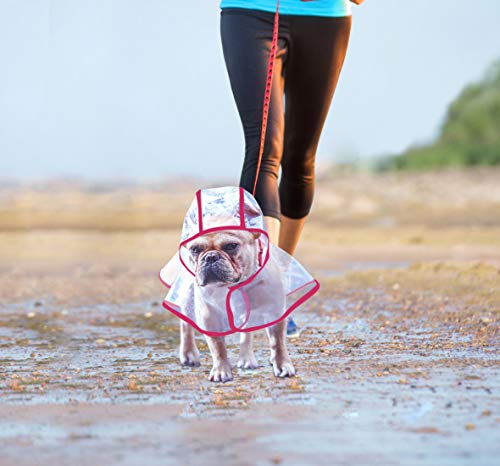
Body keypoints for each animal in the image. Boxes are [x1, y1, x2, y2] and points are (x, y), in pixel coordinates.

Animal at [179, 229, 292, 382]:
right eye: (195, 249)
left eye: (231, 246)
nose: (210, 257)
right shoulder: (210, 317)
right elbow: (217, 346)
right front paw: (221, 370)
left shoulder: (274, 311)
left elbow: (277, 342)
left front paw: (282, 365)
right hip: (188, 296)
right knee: (186, 325)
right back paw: (188, 353)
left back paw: (246, 359)